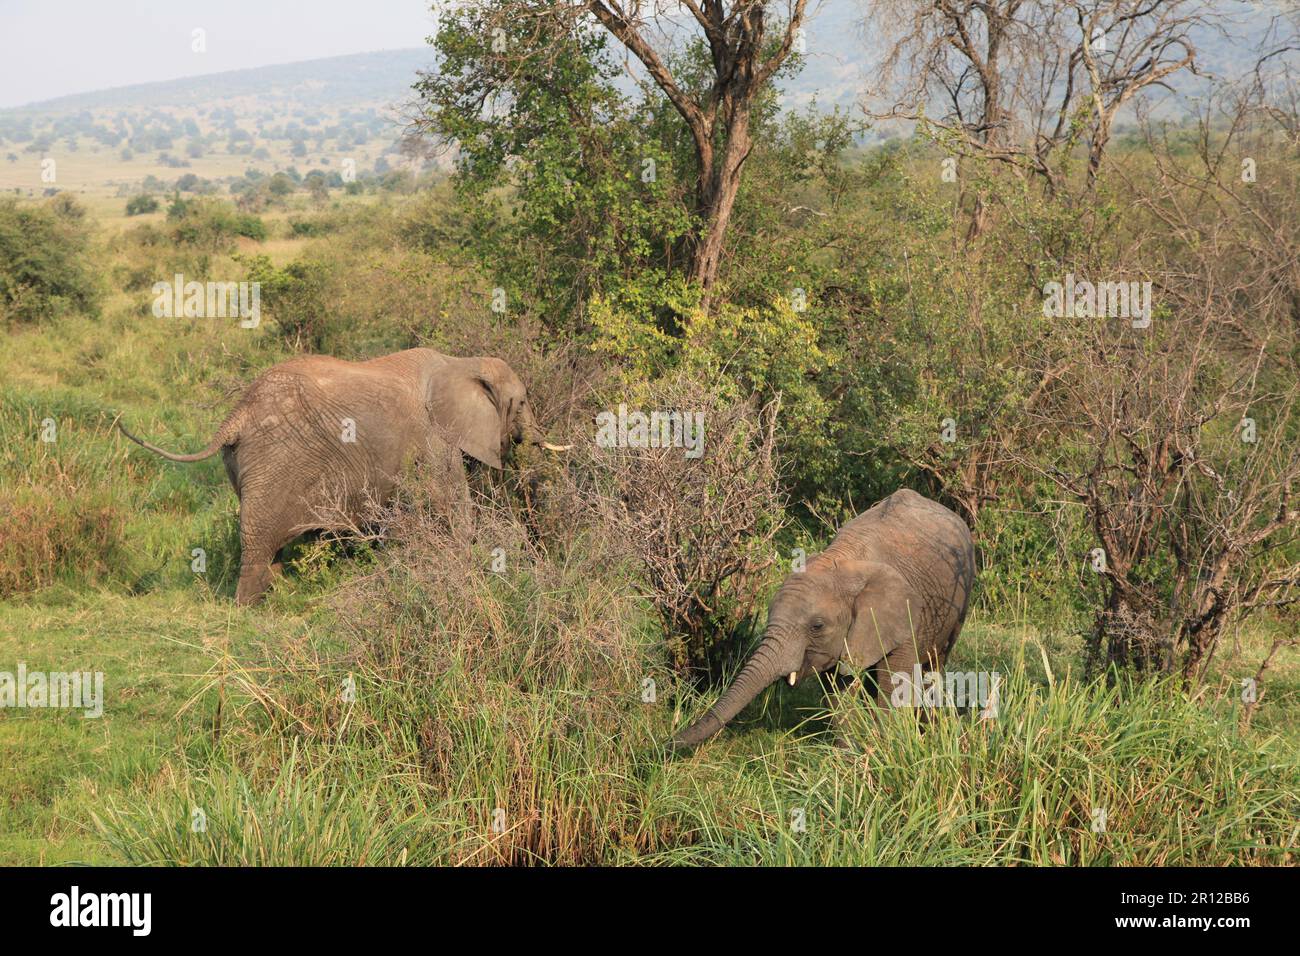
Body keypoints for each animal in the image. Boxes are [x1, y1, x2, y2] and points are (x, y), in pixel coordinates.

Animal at [118, 347, 569, 605]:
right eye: (522, 402)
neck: (461, 364)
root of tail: (236, 415)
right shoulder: (434, 438)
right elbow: (452, 509)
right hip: (274, 460)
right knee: (259, 539)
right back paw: (249, 609)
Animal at [670, 489, 976, 752]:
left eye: (816, 626)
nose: (665, 744)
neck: (842, 562)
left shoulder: (905, 617)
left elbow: (894, 685)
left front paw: (890, 750)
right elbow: (837, 691)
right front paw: (847, 756)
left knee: (934, 664)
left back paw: (928, 730)